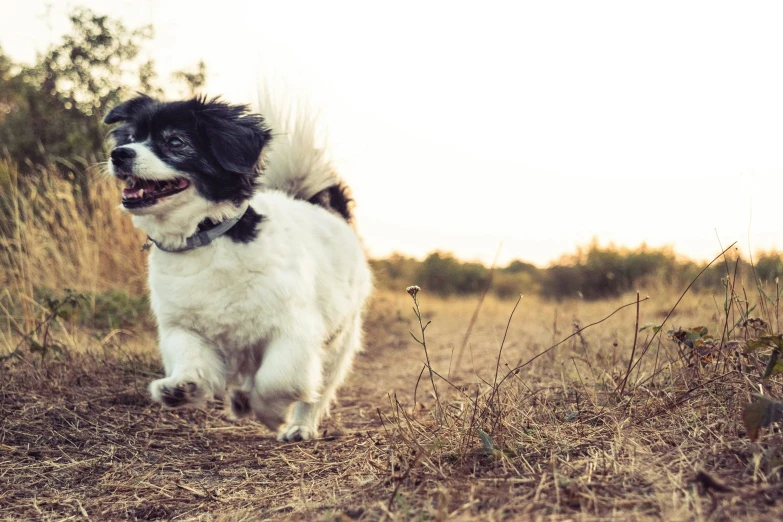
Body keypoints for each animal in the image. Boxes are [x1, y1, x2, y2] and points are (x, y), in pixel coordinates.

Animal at [104, 92, 374, 438]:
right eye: (131, 138)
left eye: (175, 142)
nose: (119, 154)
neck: (204, 236)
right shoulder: (183, 328)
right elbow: (191, 358)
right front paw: (184, 386)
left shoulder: (294, 332)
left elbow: (278, 380)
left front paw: (270, 413)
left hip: (338, 343)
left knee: (317, 391)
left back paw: (298, 426)